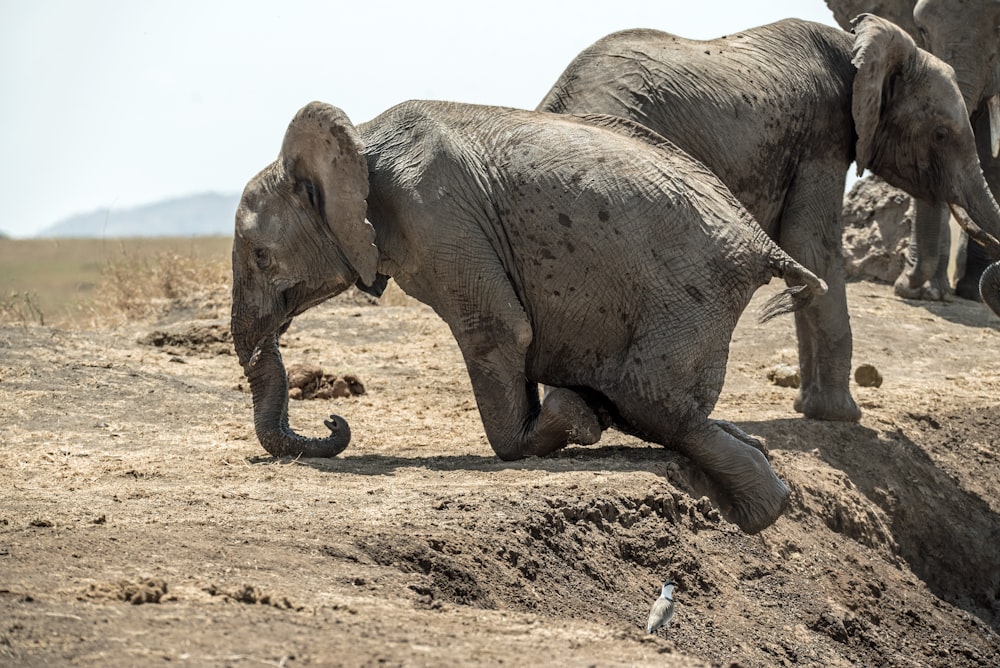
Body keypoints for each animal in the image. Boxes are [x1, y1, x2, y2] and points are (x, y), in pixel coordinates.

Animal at [232, 99, 828, 536]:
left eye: (260, 256)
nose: (333, 421)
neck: (362, 139)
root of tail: (759, 242)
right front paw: (576, 416)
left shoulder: (438, 217)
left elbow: (495, 330)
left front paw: (565, 422)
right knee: (657, 408)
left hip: (689, 292)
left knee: (649, 400)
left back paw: (765, 505)